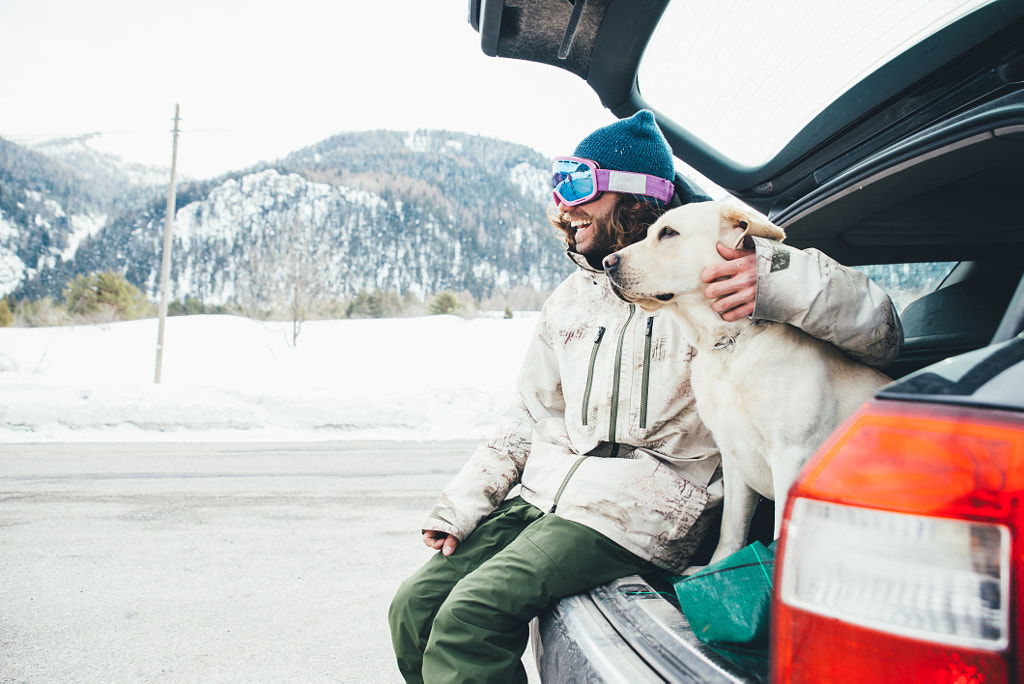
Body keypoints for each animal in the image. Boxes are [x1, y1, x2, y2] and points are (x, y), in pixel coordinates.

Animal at [598, 200, 888, 573]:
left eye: (668, 233)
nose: (607, 263)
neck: (731, 346)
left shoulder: (791, 457)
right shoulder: (733, 454)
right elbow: (731, 528)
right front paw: (718, 568)